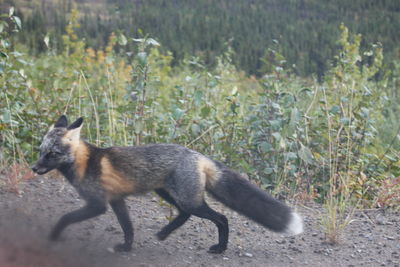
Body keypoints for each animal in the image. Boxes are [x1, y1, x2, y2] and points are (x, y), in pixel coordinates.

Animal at [32, 116, 304, 254]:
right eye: (40, 151)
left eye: (52, 154)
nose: (34, 168)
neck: (85, 163)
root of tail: (198, 155)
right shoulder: (117, 199)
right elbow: (127, 227)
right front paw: (127, 247)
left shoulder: (97, 204)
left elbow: (65, 218)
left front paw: (53, 236)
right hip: (167, 193)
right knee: (184, 215)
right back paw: (165, 233)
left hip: (188, 200)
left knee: (221, 218)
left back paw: (220, 248)